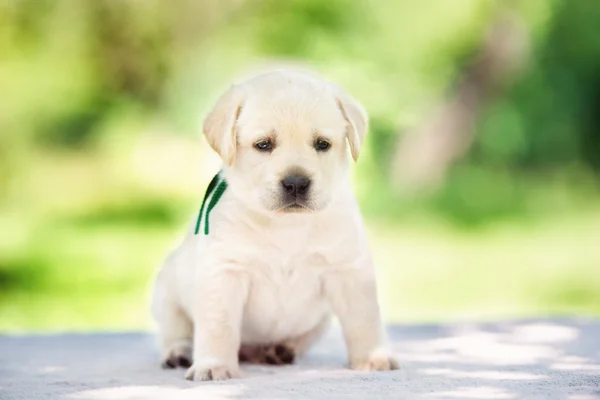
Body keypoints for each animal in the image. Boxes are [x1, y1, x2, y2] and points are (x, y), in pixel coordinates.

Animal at [150, 69, 396, 382]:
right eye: (263, 145)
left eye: (322, 144)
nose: (296, 183)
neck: (286, 225)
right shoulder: (224, 273)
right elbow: (219, 326)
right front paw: (214, 365)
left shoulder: (348, 270)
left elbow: (364, 320)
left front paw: (373, 357)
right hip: (167, 295)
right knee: (175, 332)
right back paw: (178, 354)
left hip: (320, 320)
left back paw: (280, 350)